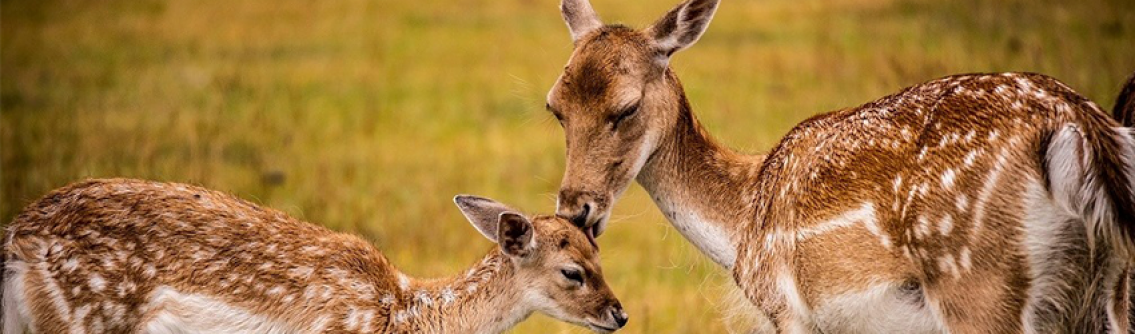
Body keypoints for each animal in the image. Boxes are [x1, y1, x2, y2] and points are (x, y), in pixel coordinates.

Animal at [547, 0, 1135, 331]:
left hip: (979, 280)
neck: (740, 225)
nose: (575, 208)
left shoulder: (789, 311)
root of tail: (1078, 125)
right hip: (1107, 289)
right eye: (555, 107)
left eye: (626, 108)